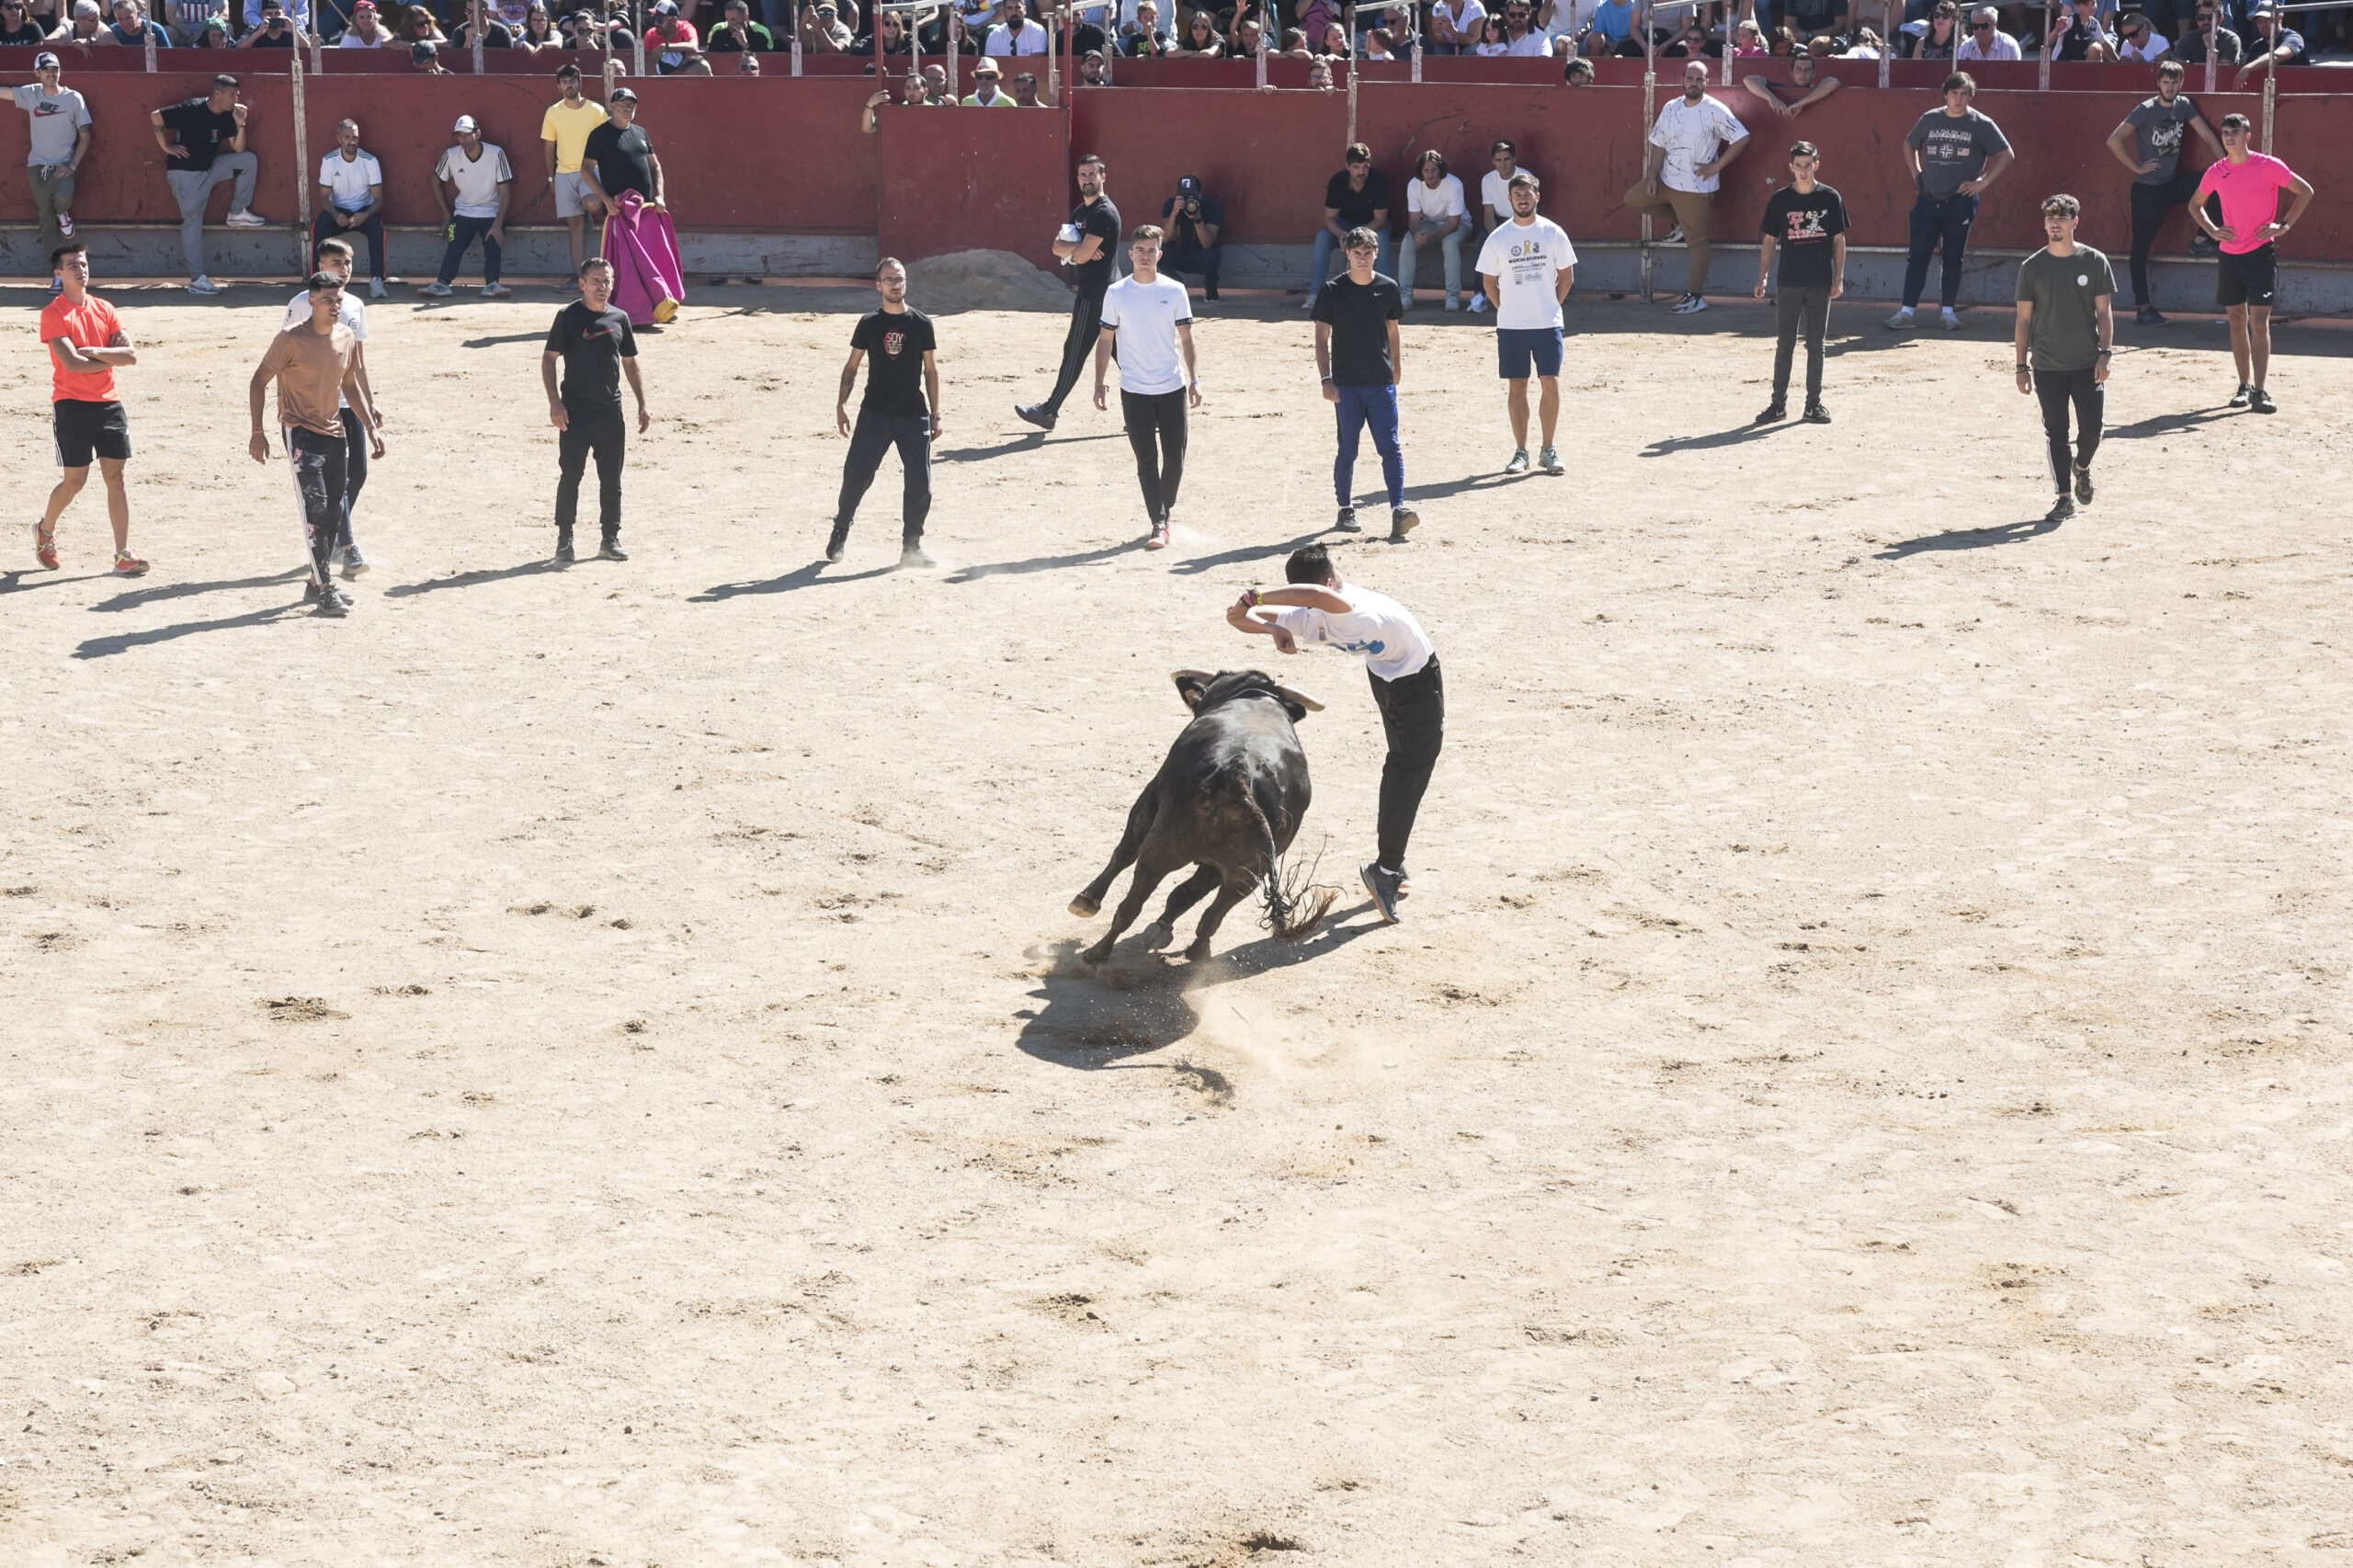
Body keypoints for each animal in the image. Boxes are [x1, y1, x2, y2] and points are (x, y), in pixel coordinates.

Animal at [1073, 664, 1336, 960]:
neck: (1258, 697)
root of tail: (1238, 774)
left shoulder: (1150, 796)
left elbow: (1125, 852)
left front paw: (1087, 900)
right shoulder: (1220, 867)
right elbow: (1184, 895)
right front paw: (1161, 930)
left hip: (1162, 848)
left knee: (1131, 904)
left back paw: (1097, 954)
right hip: (1245, 875)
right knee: (1211, 915)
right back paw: (1197, 954)